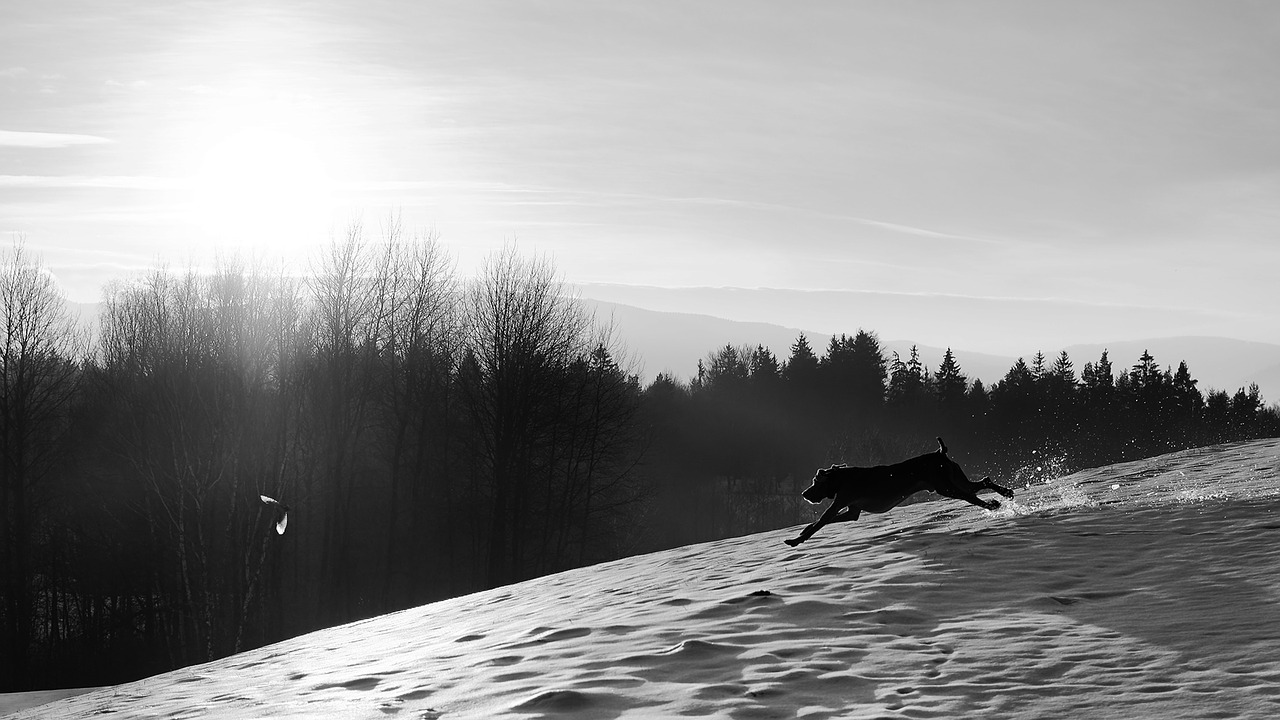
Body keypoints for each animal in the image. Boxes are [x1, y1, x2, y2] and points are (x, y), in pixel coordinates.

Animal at [778, 438, 1008, 543]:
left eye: (816, 482)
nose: (804, 495)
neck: (841, 479)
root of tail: (940, 453)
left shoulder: (840, 502)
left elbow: (820, 522)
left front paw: (796, 540)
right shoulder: (852, 511)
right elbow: (821, 522)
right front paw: (801, 531)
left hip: (946, 487)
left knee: (972, 497)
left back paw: (993, 505)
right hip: (956, 480)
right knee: (984, 482)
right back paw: (1005, 494)